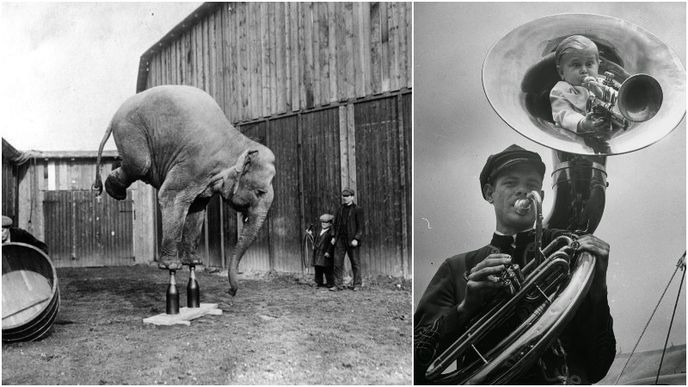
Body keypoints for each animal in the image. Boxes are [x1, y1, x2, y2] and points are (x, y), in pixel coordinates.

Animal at [93, 85, 274, 298]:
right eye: (260, 192)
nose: (231, 291)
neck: (237, 143)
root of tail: (115, 115)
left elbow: (197, 208)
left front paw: (194, 262)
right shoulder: (193, 164)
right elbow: (171, 196)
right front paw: (171, 266)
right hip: (130, 131)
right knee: (140, 164)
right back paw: (114, 191)